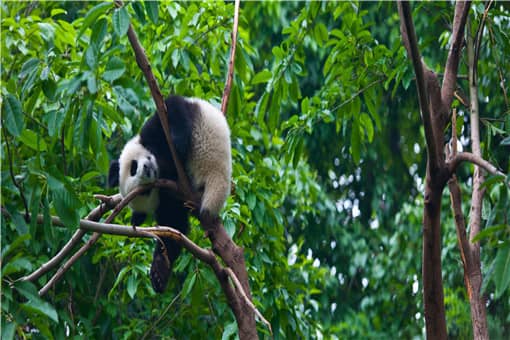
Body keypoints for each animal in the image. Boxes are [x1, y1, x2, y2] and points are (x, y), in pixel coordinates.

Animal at [111, 95, 233, 292]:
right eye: (145, 191)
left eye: (133, 167)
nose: (147, 169)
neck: (162, 165)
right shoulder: (169, 198)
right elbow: (173, 229)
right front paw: (158, 273)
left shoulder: (153, 132)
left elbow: (171, 108)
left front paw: (178, 142)